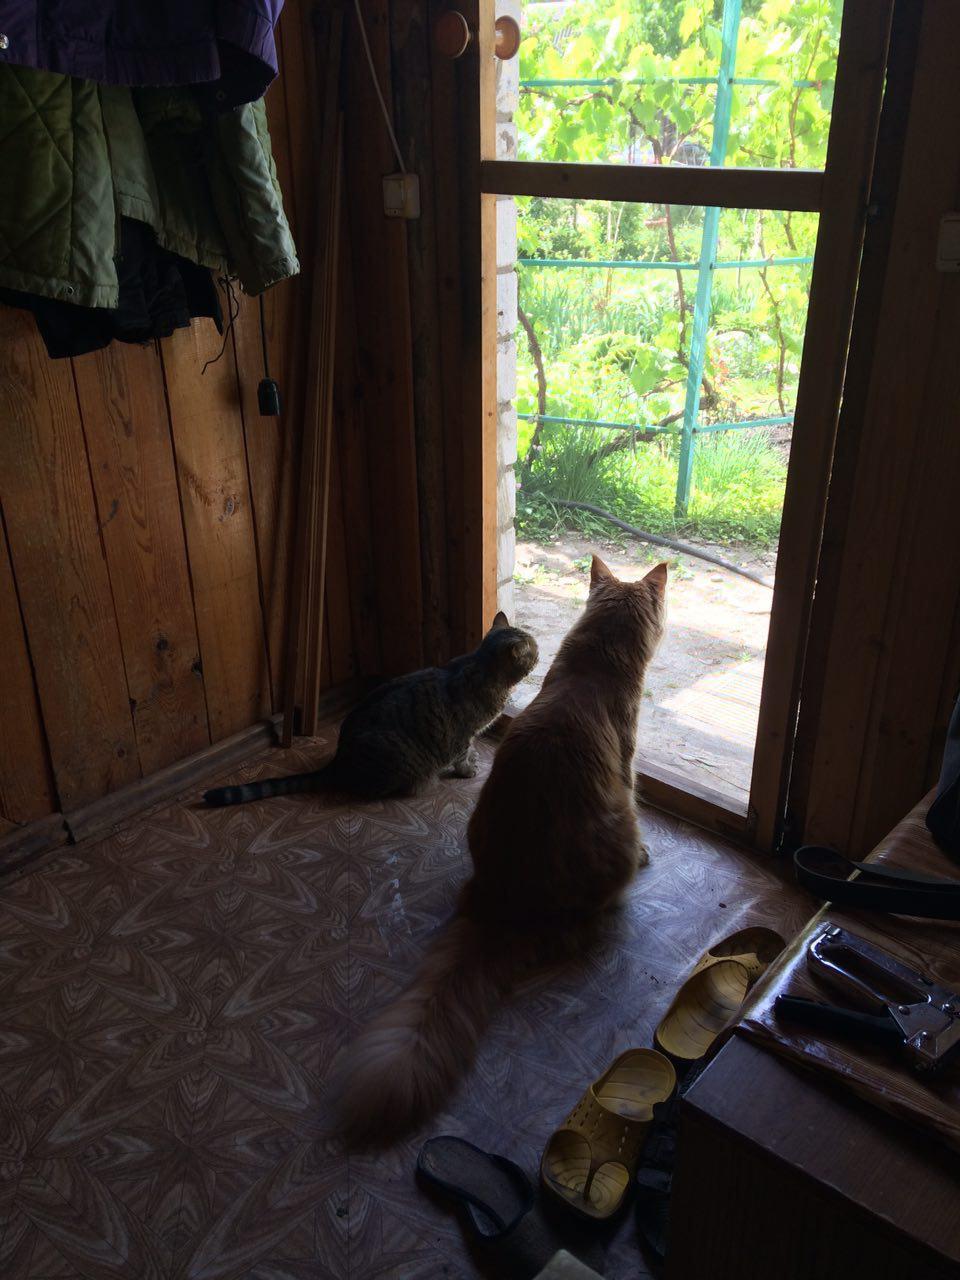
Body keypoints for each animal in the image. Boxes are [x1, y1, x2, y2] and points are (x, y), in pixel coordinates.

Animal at [202, 614, 537, 803]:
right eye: (533, 651)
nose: (541, 655)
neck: (482, 667)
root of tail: (339, 761)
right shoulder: (462, 733)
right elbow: (462, 755)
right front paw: (467, 770)